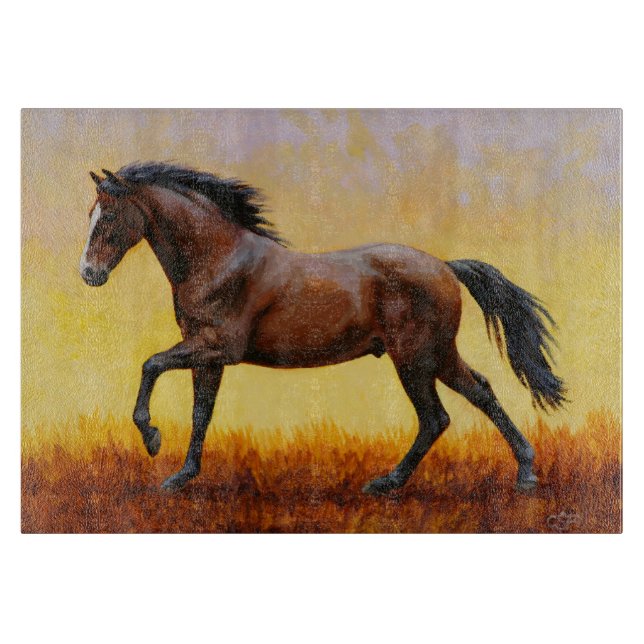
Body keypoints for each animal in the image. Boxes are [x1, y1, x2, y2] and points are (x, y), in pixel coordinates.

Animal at [80, 162, 565, 494]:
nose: (88, 274)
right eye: (90, 214)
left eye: (108, 217)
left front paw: (151, 439)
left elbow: (150, 364)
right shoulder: (206, 353)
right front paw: (180, 476)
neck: (218, 260)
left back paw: (393, 482)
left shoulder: (215, 347)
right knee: (475, 394)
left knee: (437, 416)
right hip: (434, 356)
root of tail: (445, 266)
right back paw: (520, 472)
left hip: (416, 358)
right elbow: (201, 413)